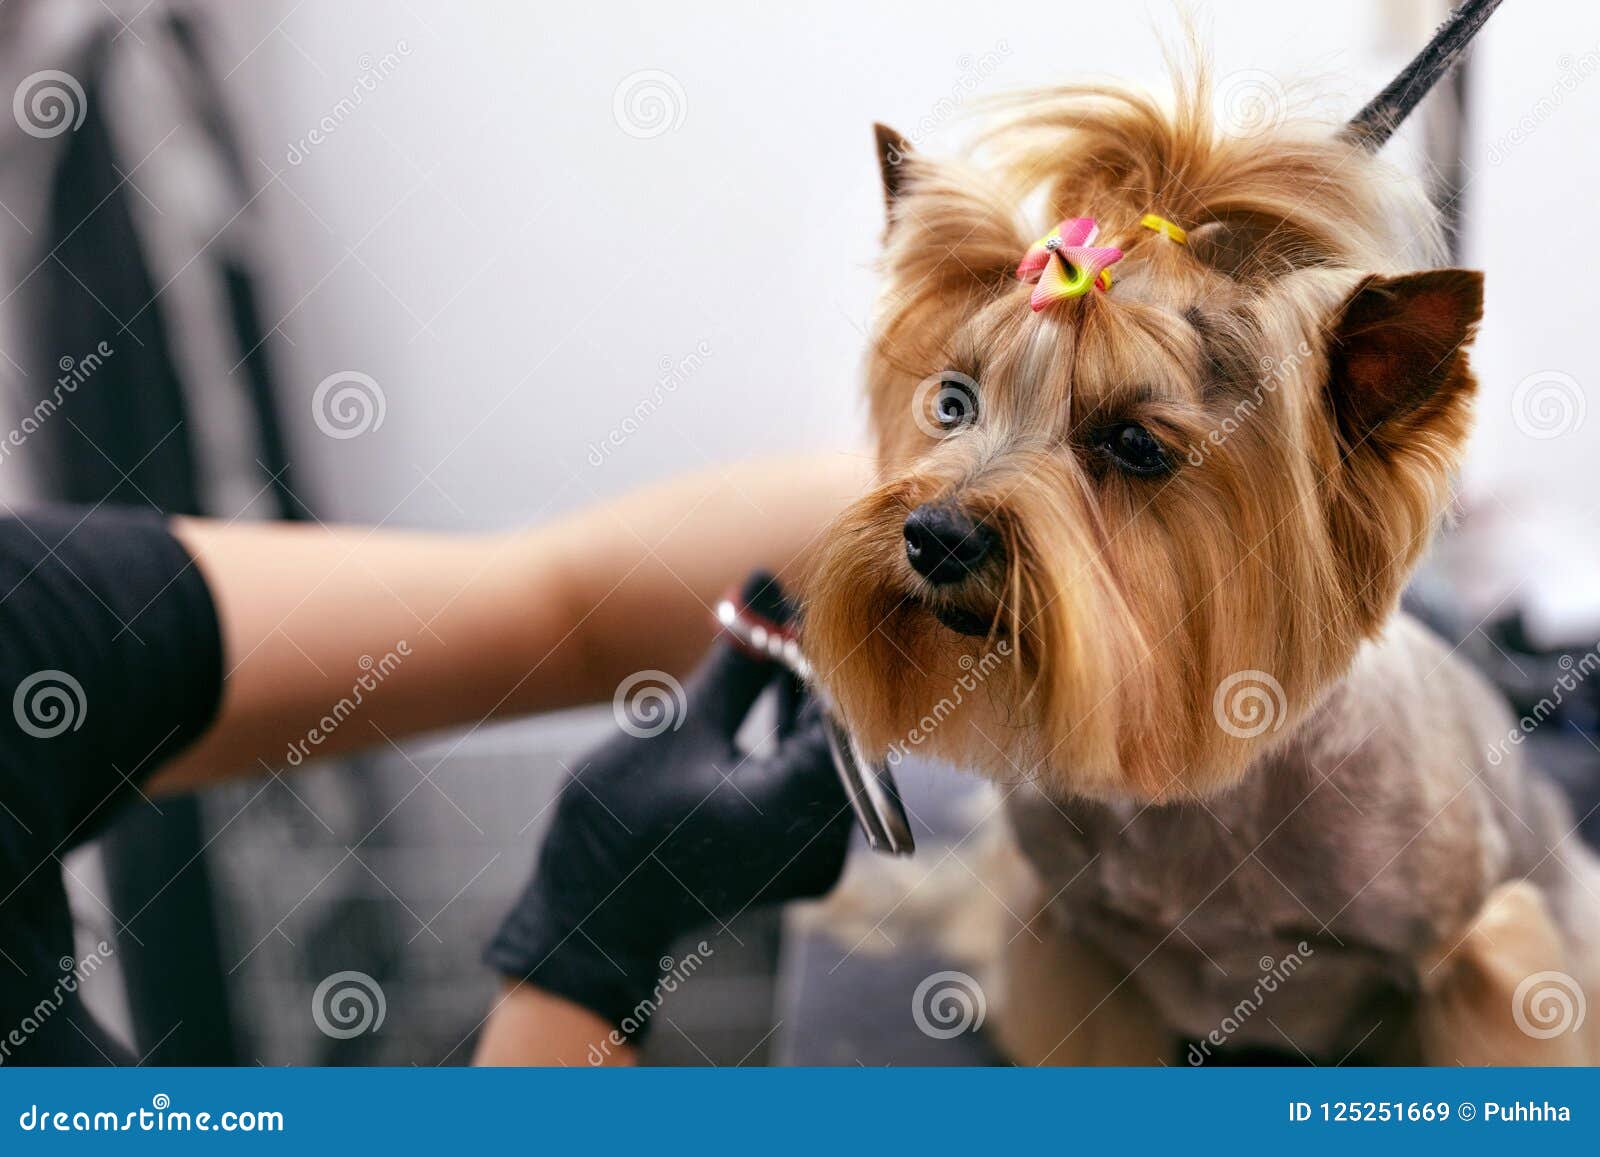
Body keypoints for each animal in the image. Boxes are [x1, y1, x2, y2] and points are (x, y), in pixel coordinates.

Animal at [806, 61, 1600, 1056]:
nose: (935, 535)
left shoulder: (1474, 954)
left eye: (1136, 444)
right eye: (953, 403)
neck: (1189, 779)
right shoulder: (1074, 944)